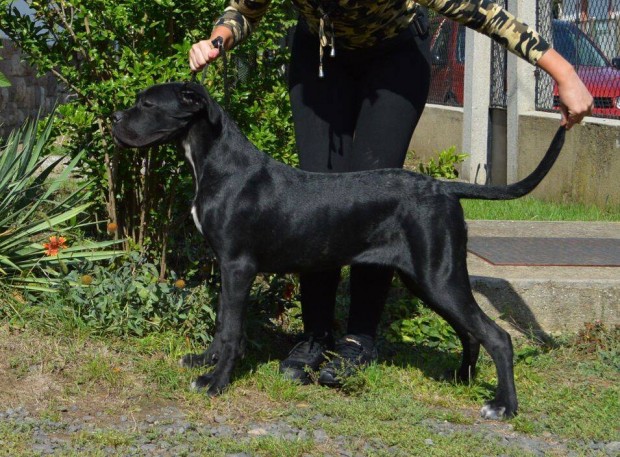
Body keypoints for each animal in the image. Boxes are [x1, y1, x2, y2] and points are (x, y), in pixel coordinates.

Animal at [111, 81, 568, 416]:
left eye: (147, 103)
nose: (114, 117)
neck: (216, 163)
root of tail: (444, 187)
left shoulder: (238, 266)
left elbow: (232, 328)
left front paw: (216, 382)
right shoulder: (226, 267)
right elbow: (223, 323)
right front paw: (204, 363)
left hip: (439, 278)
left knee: (497, 337)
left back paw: (503, 406)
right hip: (429, 279)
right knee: (470, 332)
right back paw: (462, 378)